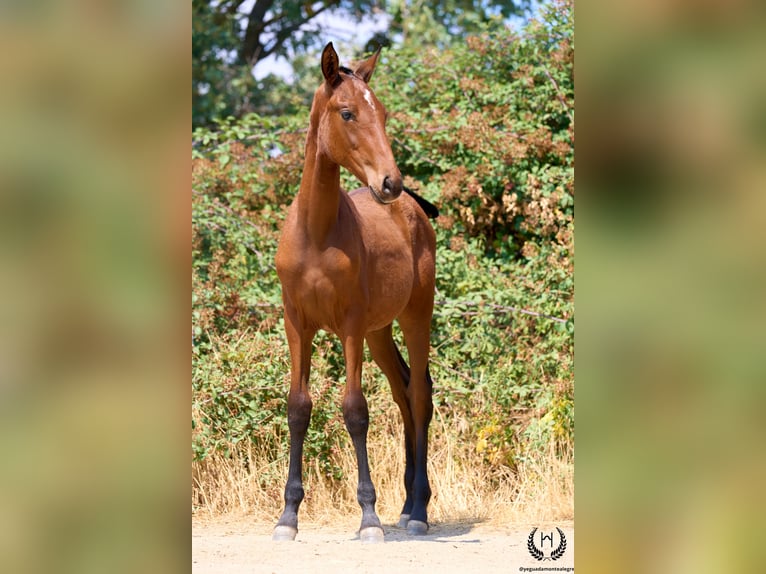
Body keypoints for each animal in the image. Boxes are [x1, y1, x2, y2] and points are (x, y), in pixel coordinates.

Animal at [272, 42, 437, 543]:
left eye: (382, 112)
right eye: (347, 112)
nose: (390, 182)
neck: (316, 234)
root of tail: (414, 210)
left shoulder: (349, 326)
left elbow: (355, 410)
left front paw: (368, 517)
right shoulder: (297, 325)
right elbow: (298, 408)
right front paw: (288, 516)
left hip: (415, 316)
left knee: (419, 395)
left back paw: (418, 511)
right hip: (380, 332)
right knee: (404, 392)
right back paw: (406, 505)